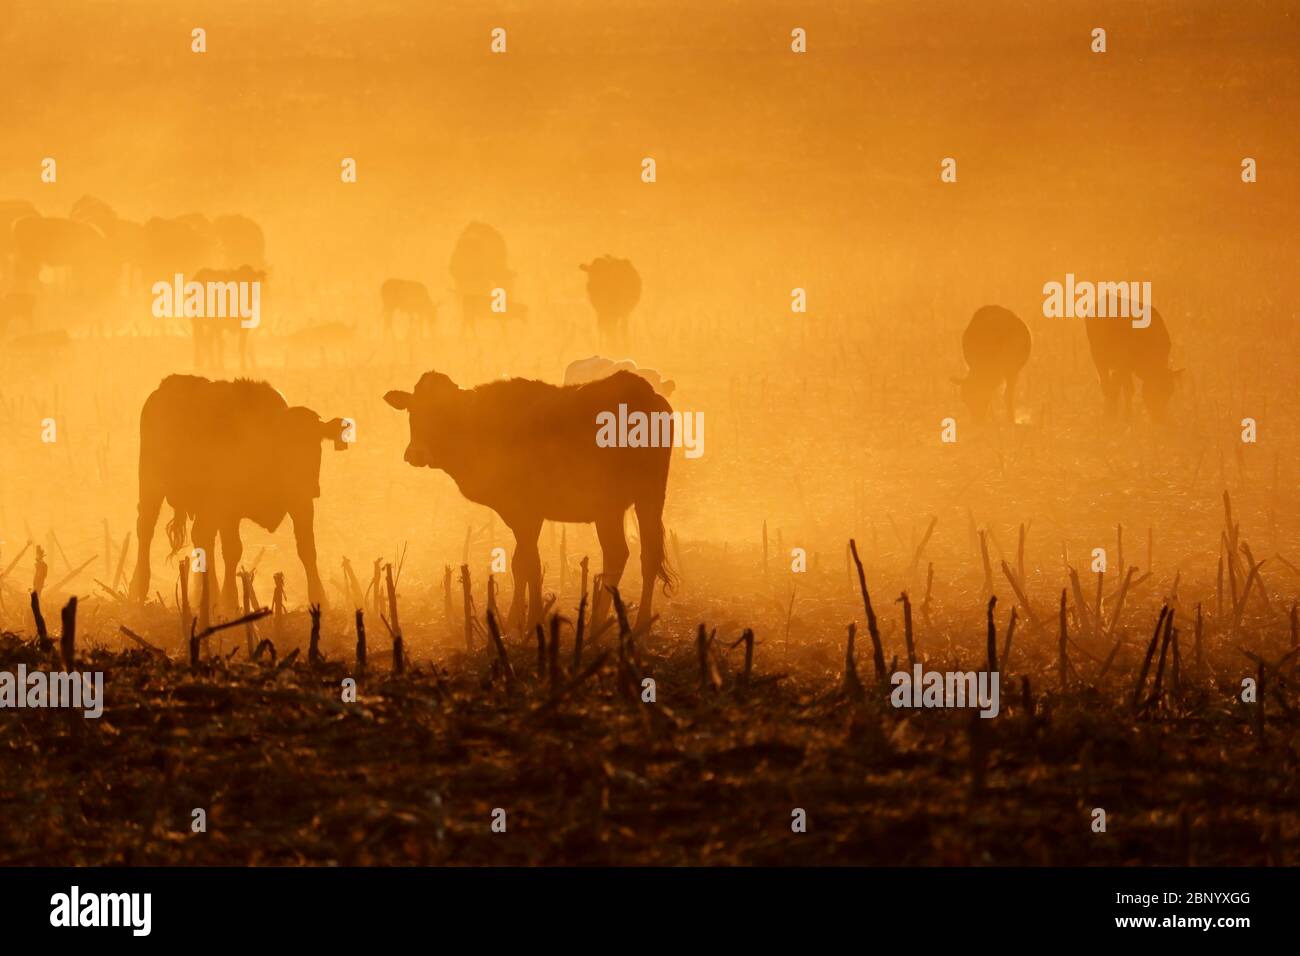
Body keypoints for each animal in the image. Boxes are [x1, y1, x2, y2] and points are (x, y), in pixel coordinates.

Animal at [127, 374, 351, 613]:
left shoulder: (301, 503)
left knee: (202, 538)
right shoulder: (228, 509)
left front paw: (320, 599)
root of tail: (170, 383)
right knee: (146, 529)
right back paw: (139, 588)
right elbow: (233, 551)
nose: (311, 486)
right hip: (151, 486)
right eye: (286, 443)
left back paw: (206, 595)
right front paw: (231, 601)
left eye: (316, 445)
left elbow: (307, 549)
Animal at [382, 369, 670, 632]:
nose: (416, 453)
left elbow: (529, 563)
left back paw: (609, 623)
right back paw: (630, 622)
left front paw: (531, 620)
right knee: (642, 554)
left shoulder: (524, 511)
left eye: (442, 411)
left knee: (623, 554)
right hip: (643, 498)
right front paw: (515, 621)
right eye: (413, 410)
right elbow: (521, 563)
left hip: (616, 502)